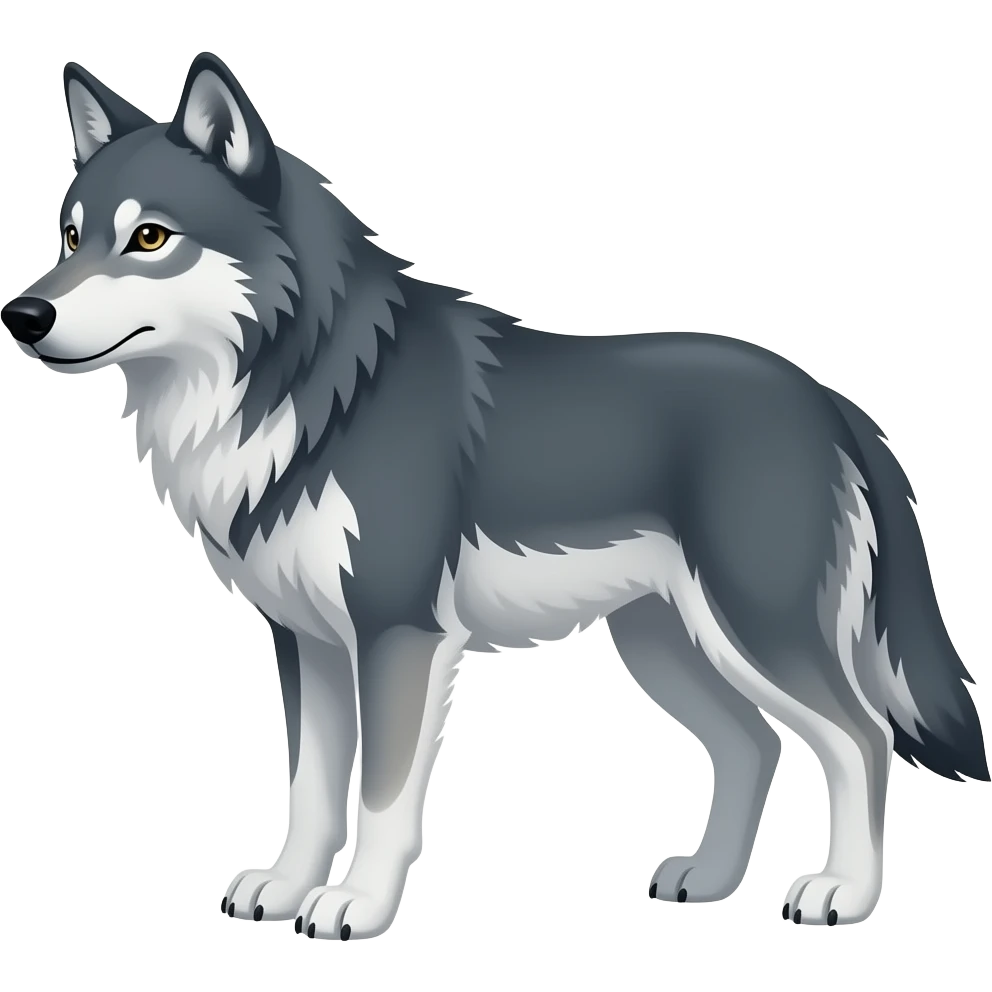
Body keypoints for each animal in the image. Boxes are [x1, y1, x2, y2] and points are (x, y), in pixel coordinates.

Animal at [2, 53, 988, 939]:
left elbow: (381, 795)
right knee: (756, 743)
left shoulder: (398, 635)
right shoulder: (308, 643)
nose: (23, 315)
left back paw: (842, 896)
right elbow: (312, 791)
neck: (310, 387)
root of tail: (832, 402)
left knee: (861, 739)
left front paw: (357, 907)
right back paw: (708, 881)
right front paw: (283, 893)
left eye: (150, 238)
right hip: (664, 643)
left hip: (753, 630)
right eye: (70, 237)